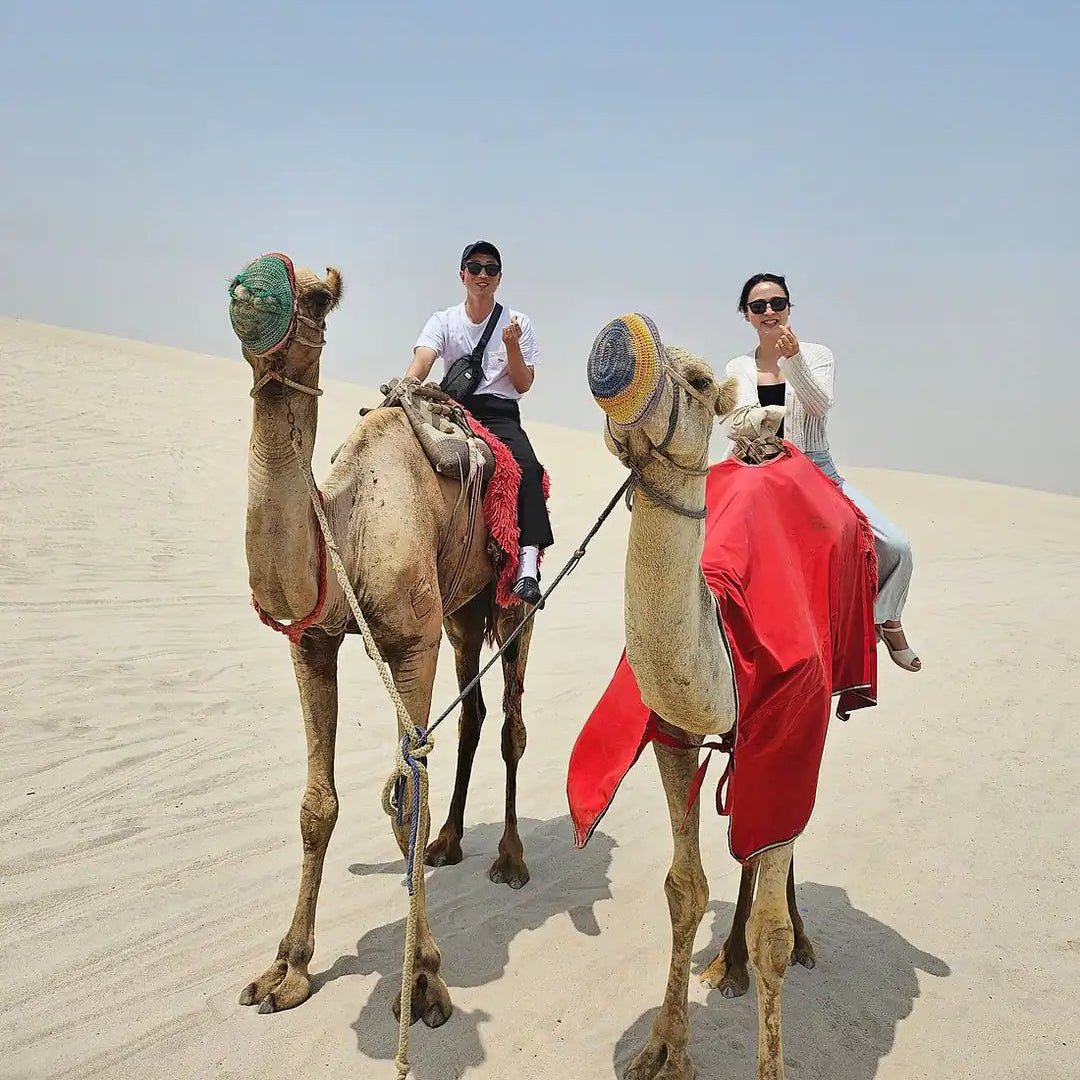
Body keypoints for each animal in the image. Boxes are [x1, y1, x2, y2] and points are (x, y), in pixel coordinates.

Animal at [227, 253, 536, 1028]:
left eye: (314, 298)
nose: (248, 293)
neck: (349, 518)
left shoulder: (410, 644)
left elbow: (405, 800)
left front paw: (423, 979)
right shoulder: (312, 641)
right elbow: (318, 805)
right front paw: (286, 970)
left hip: (511, 605)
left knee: (511, 723)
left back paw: (510, 859)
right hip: (461, 611)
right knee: (474, 712)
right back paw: (453, 842)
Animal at [585, 315, 823, 1080]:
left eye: (694, 381)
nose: (615, 346)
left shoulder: (791, 735)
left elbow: (773, 928)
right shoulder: (672, 735)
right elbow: (683, 889)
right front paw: (665, 1050)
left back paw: (796, 943)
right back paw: (729, 962)